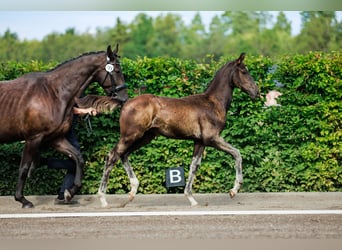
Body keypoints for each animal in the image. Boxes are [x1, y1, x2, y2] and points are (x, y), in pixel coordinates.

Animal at [0, 44, 127, 207]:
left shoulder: (55, 138)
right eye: (117, 71)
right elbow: (23, 168)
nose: (124, 98)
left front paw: (68, 193)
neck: (53, 93)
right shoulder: (33, 138)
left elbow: (78, 158)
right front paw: (22, 199)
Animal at [98, 53, 260, 207]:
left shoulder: (199, 142)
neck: (213, 102)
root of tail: (125, 103)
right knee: (112, 156)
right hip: (130, 135)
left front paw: (191, 199)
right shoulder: (212, 138)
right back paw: (103, 199)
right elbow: (237, 153)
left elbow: (194, 166)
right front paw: (234, 190)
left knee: (123, 155)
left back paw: (132, 191)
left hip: (144, 137)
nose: (257, 92)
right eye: (244, 71)